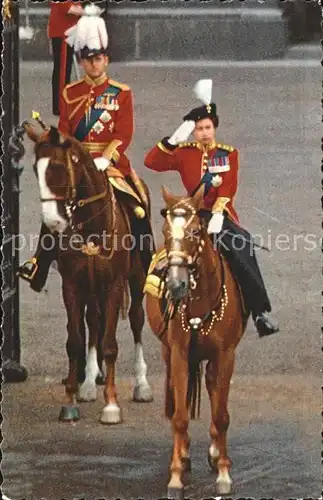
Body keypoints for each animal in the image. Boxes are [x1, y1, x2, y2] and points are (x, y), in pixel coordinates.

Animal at [23, 124, 153, 422]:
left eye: (58, 166)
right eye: (35, 168)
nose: (53, 222)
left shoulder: (114, 284)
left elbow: (111, 344)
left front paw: (112, 406)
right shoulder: (72, 285)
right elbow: (75, 340)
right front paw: (70, 400)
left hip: (135, 278)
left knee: (136, 320)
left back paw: (141, 384)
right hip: (91, 287)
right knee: (93, 321)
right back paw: (89, 383)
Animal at [146, 187, 251, 496]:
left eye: (194, 231)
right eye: (166, 231)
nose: (175, 284)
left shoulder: (225, 355)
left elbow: (222, 414)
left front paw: (224, 473)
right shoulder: (179, 353)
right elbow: (180, 416)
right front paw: (176, 476)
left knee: (212, 389)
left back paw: (215, 452)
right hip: (168, 352)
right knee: (175, 402)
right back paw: (183, 453)